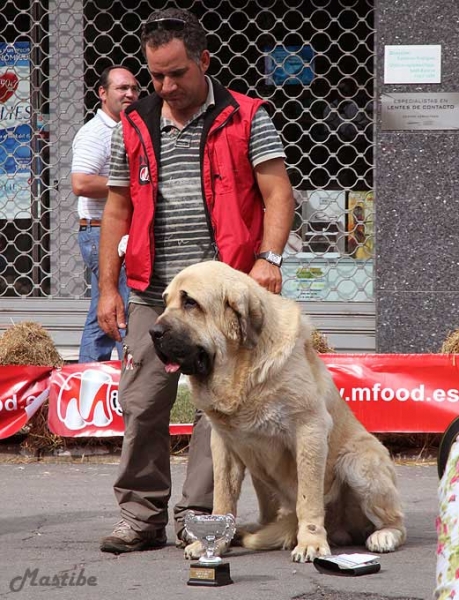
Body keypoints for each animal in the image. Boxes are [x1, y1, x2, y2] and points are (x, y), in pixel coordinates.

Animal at [152, 262, 406, 564]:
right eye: (166, 301)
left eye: (190, 302)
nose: (153, 332)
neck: (243, 370)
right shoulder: (224, 445)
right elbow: (223, 496)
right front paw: (211, 544)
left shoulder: (309, 429)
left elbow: (308, 497)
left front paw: (310, 543)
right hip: (260, 474)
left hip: (359, 463)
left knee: (396, 521)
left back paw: (384, 535)